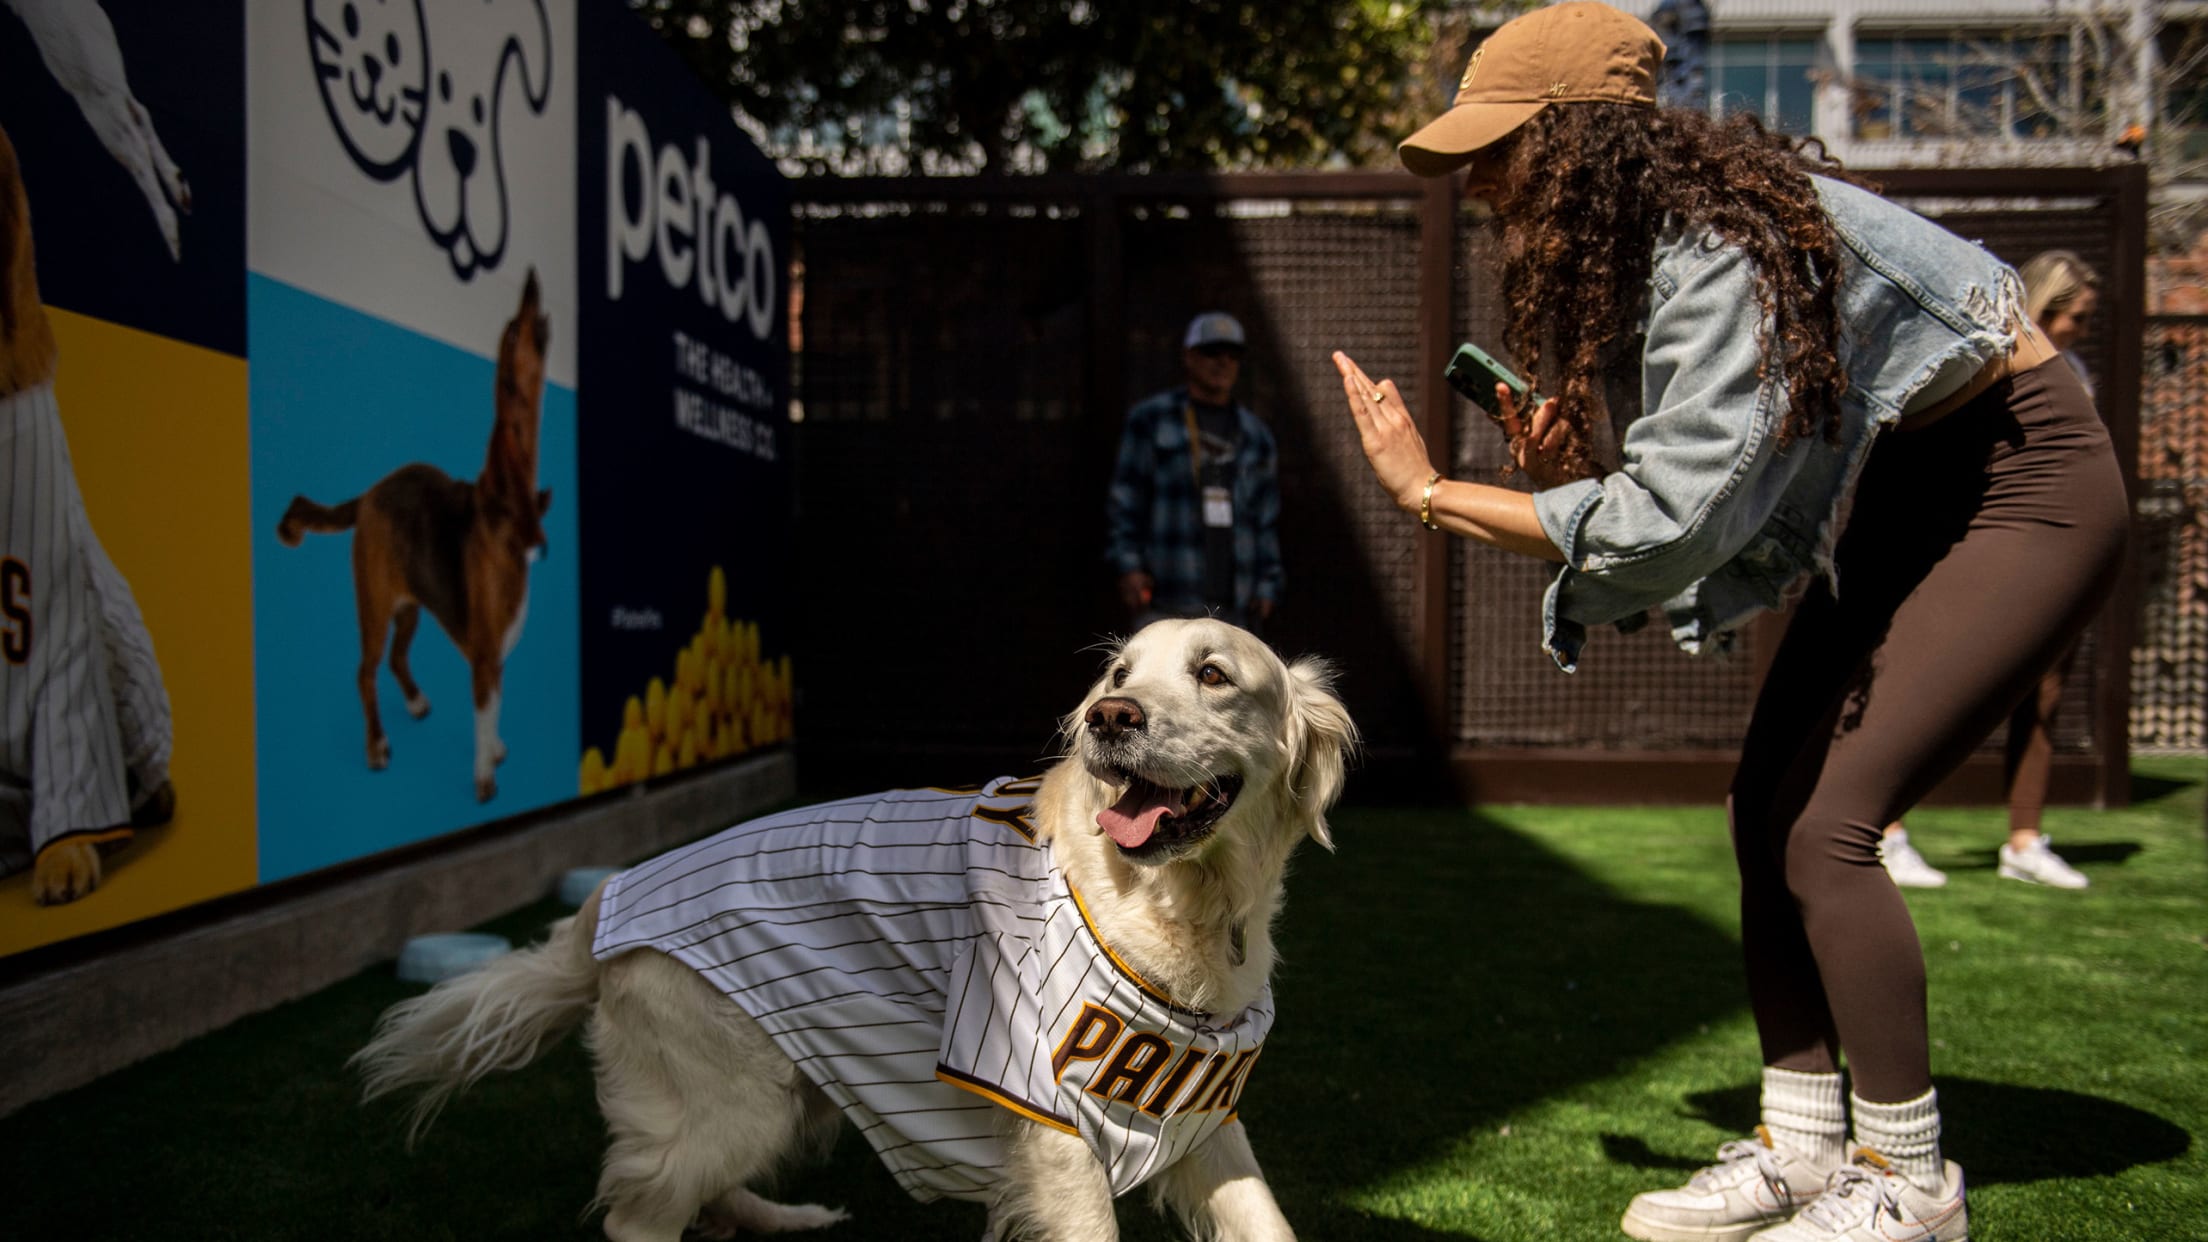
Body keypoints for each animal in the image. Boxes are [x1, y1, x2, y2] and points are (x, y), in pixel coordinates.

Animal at [357, 618, 1360, 1237]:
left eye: (1213, 675)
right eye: (1119, 676)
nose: (1113, 718)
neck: (1180, 904)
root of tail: (608, 900)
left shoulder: (1198, 1106)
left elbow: (1266, 1220)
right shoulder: (1053, 1128)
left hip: (781, 1084)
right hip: (736, 1094)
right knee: (639, 1213)